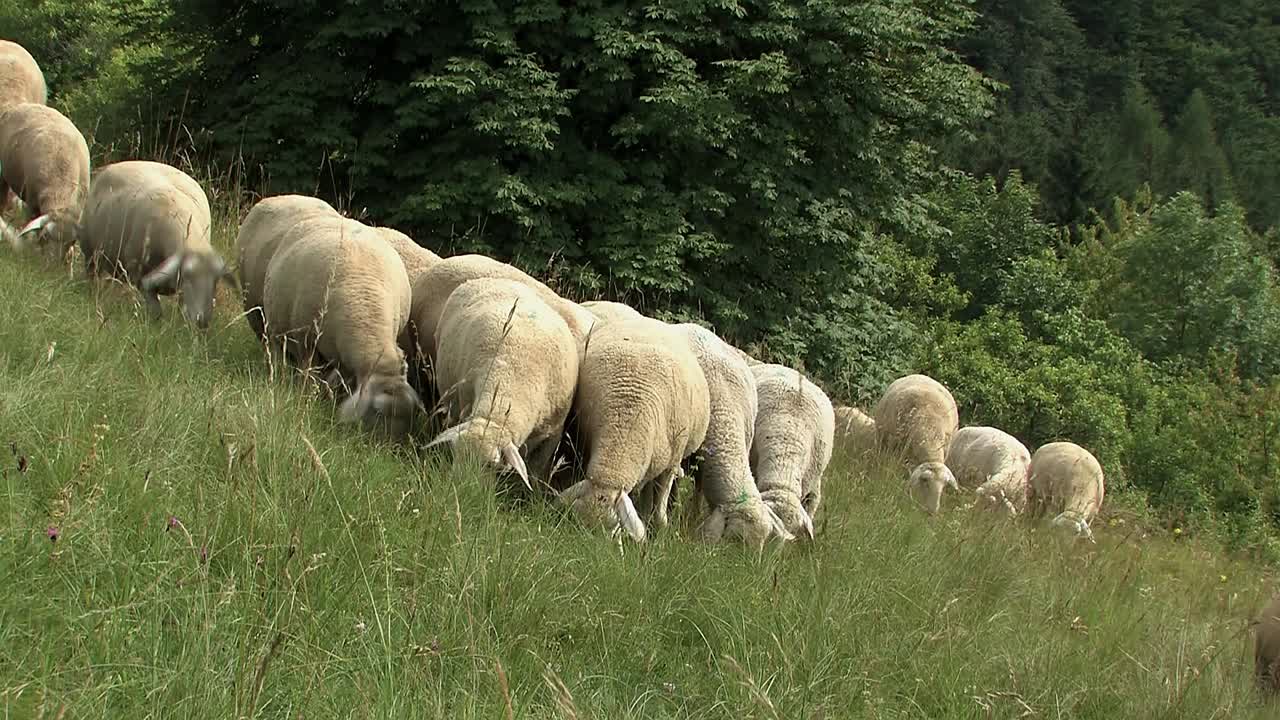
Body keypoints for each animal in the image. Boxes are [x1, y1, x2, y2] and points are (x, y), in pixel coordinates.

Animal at [0, 103, 89, 251]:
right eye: (45, 238)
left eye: (71, 242)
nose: (54, 260)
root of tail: (26, 105)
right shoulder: (32, 202)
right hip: (3, 176)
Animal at [77, 160, 229, 329]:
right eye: (187, 277)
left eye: (216, 280)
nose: (202, 322)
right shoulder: (139, 274)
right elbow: (156, 310)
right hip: (90, 251)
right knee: (92, 273)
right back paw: (93, 293)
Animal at [262, 218, 424, 438]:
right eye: (377, 412)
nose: (392, 445)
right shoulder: (306, 340)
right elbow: (309, 374)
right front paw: (307, 397)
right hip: (275, 326)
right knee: (276, 350)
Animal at [872, 373, 960, 514]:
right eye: (925, 481)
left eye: (943, 486)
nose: (932, 512)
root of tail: (922, 375)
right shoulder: (895, 450)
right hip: (882, 440)